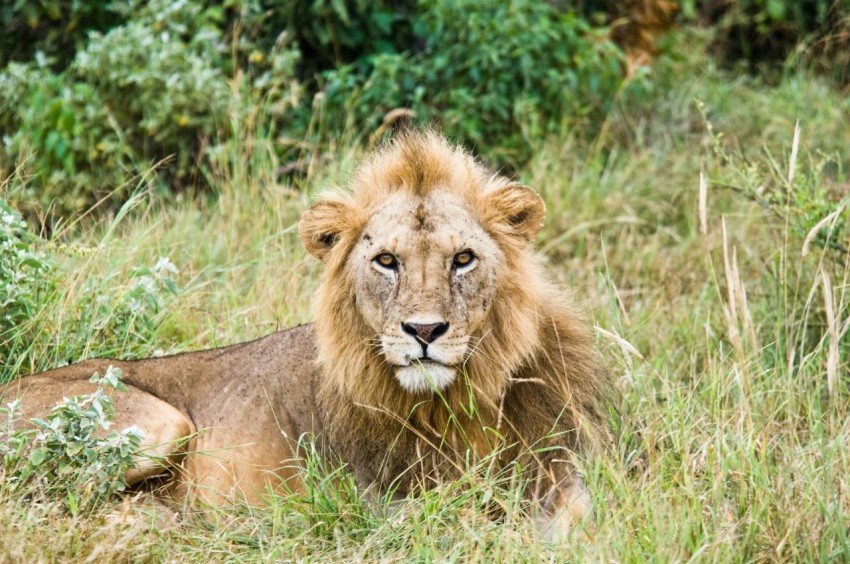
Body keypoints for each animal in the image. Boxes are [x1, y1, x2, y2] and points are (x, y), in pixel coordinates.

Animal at [5, 130, 610, 541]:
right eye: (386, 261)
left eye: (463, 259)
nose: (424, 330)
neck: (458, 401)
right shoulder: (388, 504)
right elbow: (473, 521)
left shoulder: (565, 474)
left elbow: (582, 518)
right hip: (161, 422)